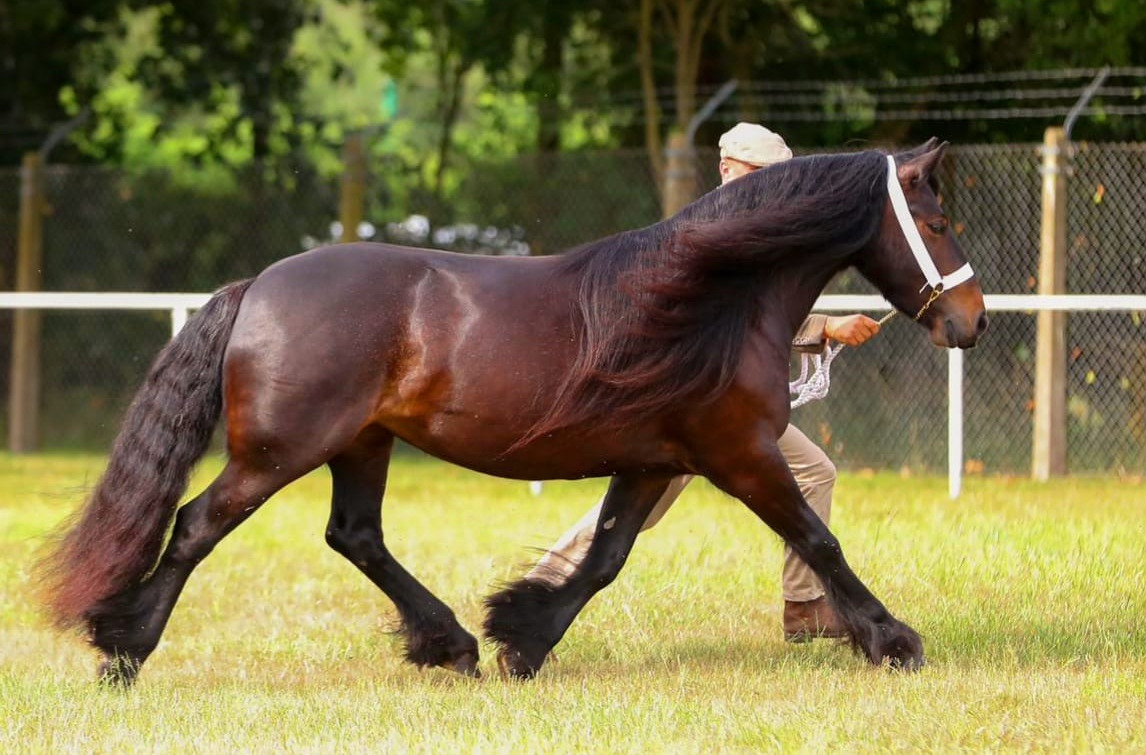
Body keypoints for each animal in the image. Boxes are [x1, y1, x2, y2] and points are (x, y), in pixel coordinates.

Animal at [40, 139, 987, 686]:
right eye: (938, 220)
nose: (970, 322)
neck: (714, 298)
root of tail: (259, 285)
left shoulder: (653, 460)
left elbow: (603, 557)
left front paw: (522, 639)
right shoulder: (739, 452)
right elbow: (818, 539)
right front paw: (893, 640)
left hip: (363, 443)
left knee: (355, 535)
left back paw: (450, 643)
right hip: (279, 452)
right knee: (198, 523)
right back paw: (123, 648)